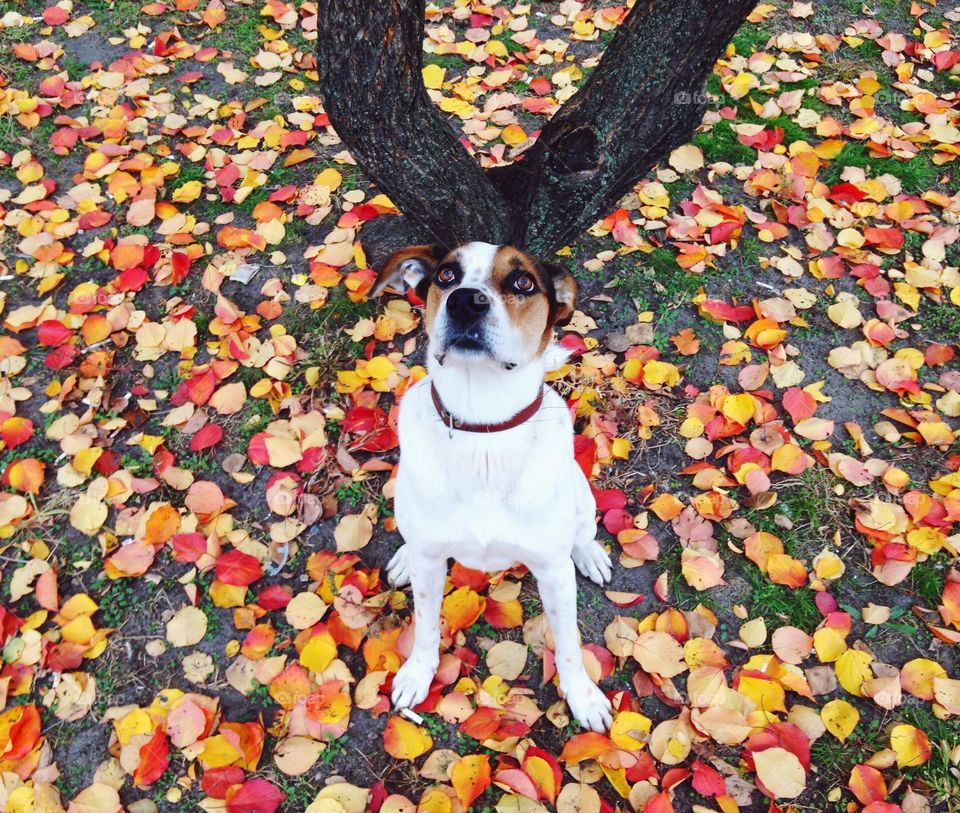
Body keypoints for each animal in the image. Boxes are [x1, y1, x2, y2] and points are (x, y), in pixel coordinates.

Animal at [372, 239, 612, 728]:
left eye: (523, 282)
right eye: (446, 275)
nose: (465, 301)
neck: (482, 429)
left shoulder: (553, 572)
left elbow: (570, 644)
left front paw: (583, 697)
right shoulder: (431, 566)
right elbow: (425, 626)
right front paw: (417, 674)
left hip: (581, 497)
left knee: (583, 531)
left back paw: (590, 553)